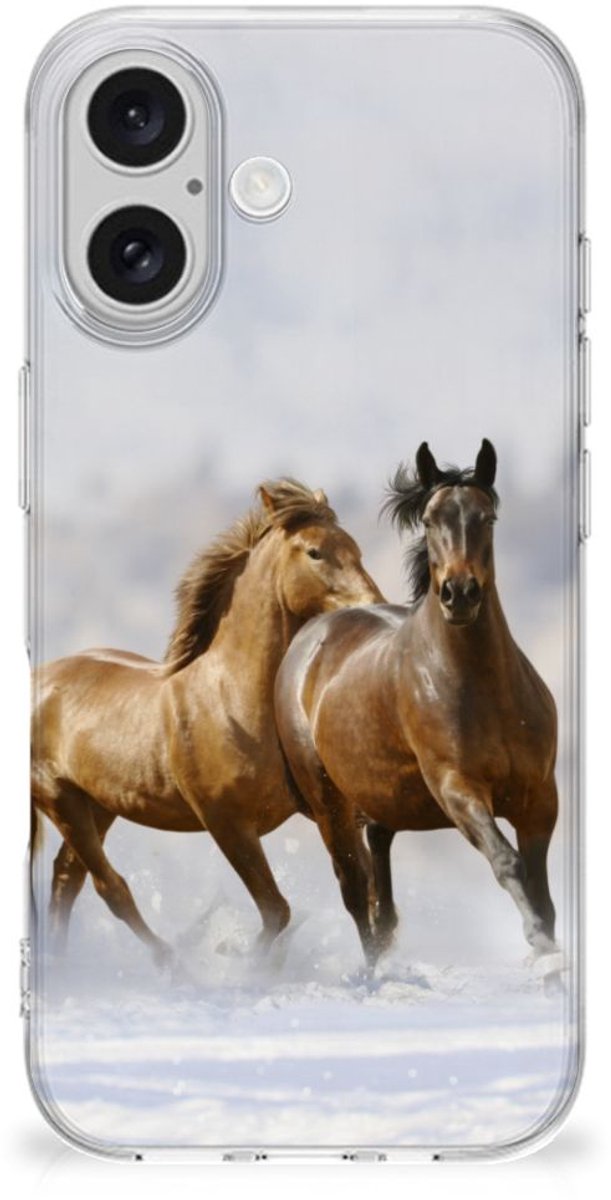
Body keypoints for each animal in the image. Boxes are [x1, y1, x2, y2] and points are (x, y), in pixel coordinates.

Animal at [31, 479, 383, 966]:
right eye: (315, 552)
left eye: (356, 548)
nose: (374, 607)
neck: (233, 701)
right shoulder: (227, 823)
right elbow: (277, 909)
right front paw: (240, 961)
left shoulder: (324, 808)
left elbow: (358, 886)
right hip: (59, 799)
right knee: (109, 886)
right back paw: (170, 961)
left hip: (97, 805)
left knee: (68, 878)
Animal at [274, 441, 559, 968]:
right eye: (428, 520)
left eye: (488, 517)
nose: (459, 594)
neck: (485, 691)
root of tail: (309, 637)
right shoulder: (457, 789)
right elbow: (508, 863)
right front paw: (541, 947)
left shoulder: (539, 798)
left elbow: (542, 890)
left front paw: (548, 950)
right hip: (329, 805)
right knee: (355, 892)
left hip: (380, 802)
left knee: (380, 894)